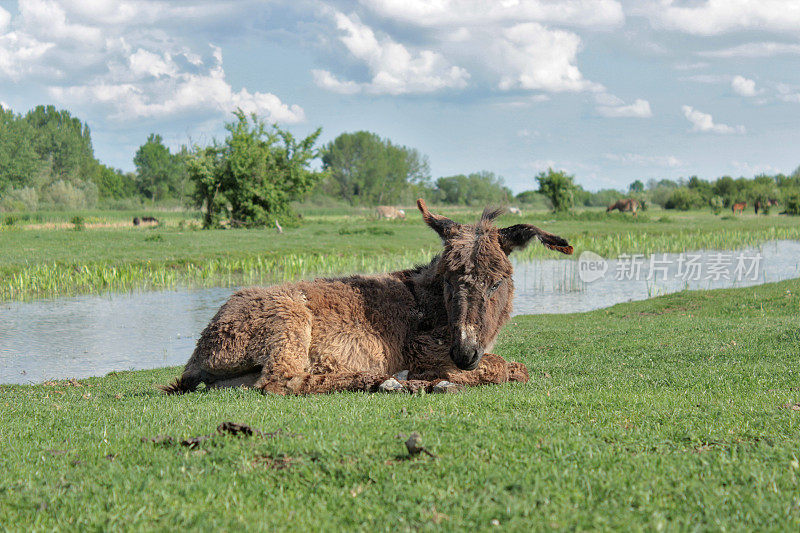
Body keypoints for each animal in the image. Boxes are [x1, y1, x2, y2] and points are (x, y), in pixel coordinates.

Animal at [162, 200, 572, 394]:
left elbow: (512, 367)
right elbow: (510, 368)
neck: (430, 302)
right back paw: (395, 382)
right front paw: (449, 377)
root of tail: (202, 347)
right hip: (287, 323)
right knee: (282, 383)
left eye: (496, 283)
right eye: (449, 281)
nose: (464, 354)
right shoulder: (424, 348)